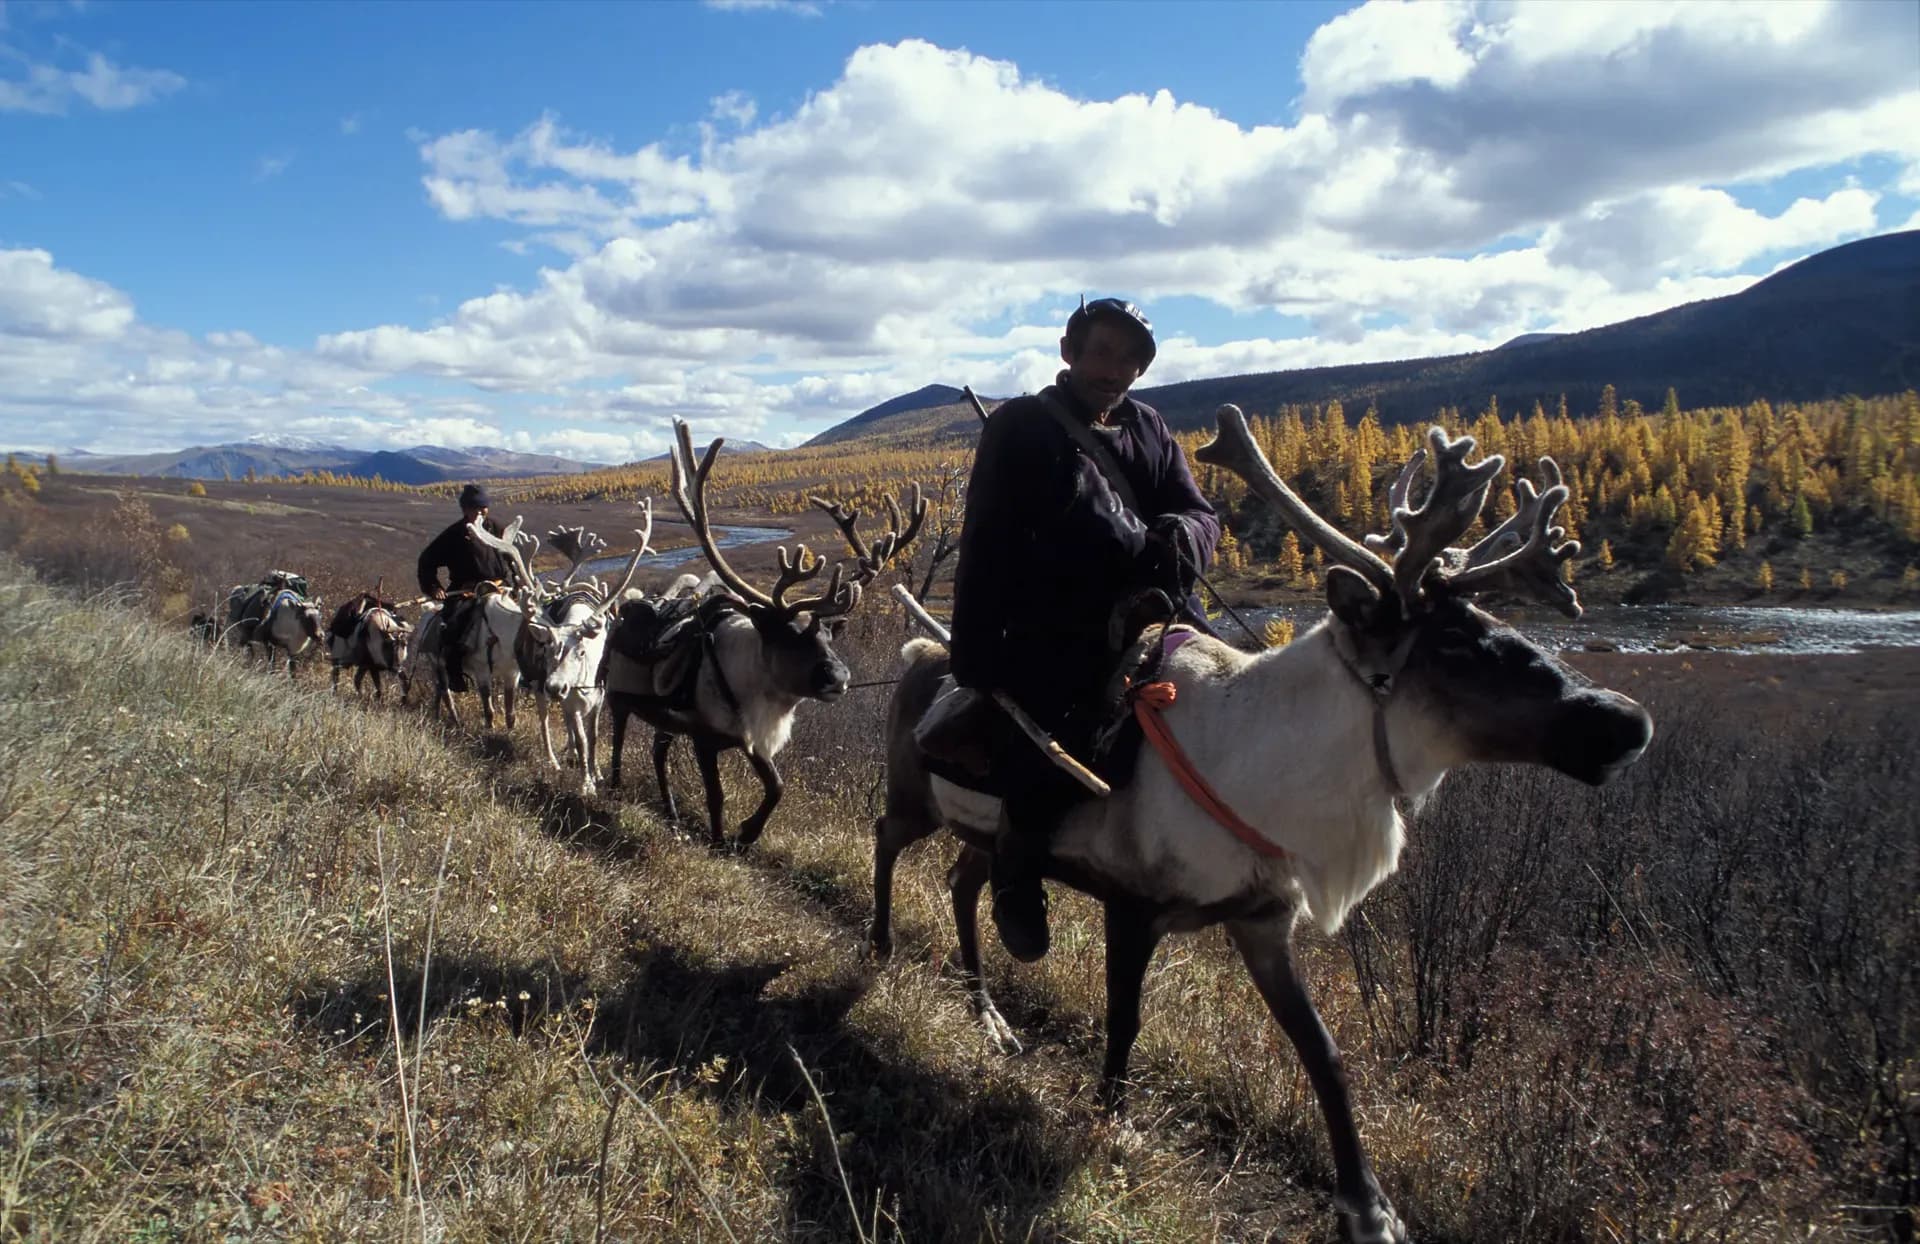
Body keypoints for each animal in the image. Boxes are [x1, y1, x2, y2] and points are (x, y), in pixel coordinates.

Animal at [604, 417, 926, 849]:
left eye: (830, 635)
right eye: (788, 635)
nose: (839, 677)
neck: (755, 683)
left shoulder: (751, 738)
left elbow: (777, 787)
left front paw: (747, 834)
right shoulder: (705, 737)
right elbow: (716, 795)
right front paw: (719, 840)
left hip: (665, 718)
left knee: (658, 753)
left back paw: (670, 813)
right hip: (617, 698)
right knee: (618, 739)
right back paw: (613, 787)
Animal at [871, 406, 1654, 1244]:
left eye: (1497, 620)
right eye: (1452, 639)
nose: (1626, 720)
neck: (1260, 766)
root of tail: (917, 652)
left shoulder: (1262, 920)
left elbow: (1326, 1053)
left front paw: (1369, 1208)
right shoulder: (1134, 906)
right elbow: (1125, 1021)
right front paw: (1112, 1124)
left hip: (988, 836)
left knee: (963, 882)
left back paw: (989, 1016)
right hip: (918, 799)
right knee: (887, 838)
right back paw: (882, 948)